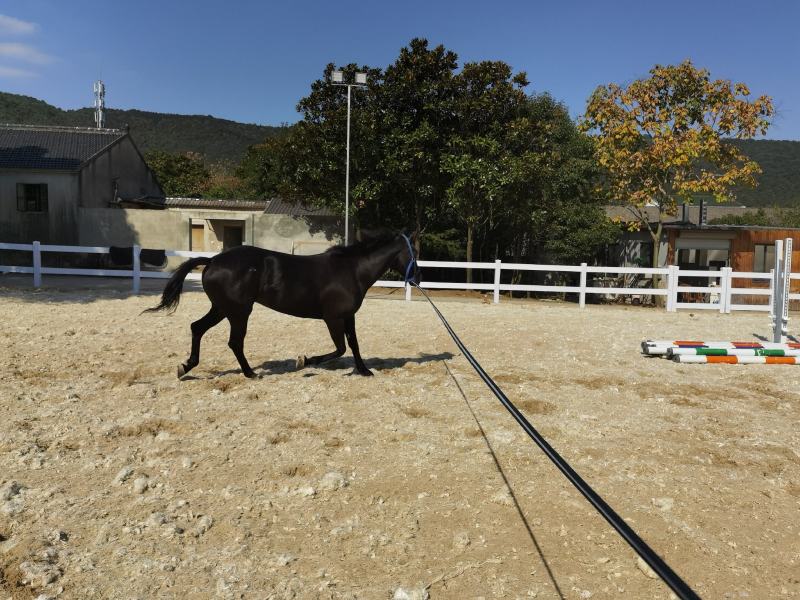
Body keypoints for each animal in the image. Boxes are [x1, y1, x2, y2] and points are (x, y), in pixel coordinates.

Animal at [144, 231, 420, 379]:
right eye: (413, 253)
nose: (417, 276)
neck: (351, 270)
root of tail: (212, 261)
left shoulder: (348, 316)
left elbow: (353, 345)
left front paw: (363, 370)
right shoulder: (333, 318)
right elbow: (340, 348)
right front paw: (304, 361)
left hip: (222, 309)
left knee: (197, 328)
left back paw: (185, 366)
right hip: (239, 312)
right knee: (234, 342)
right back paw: (250, 374)